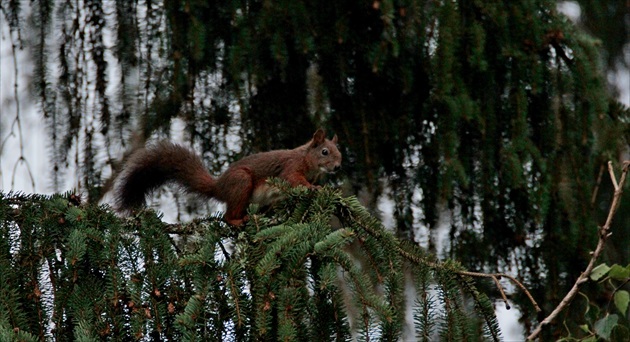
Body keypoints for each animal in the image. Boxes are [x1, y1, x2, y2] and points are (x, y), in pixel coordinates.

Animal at [116, 128, 344, 224]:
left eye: (339, 152)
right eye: (325, 152)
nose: (337, 167)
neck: (309, 162)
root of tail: (219, 186)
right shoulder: (290, 167)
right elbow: (294, 179)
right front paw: (314, 188)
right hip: (241, 182)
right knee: (227, 216)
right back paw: (237, 221)